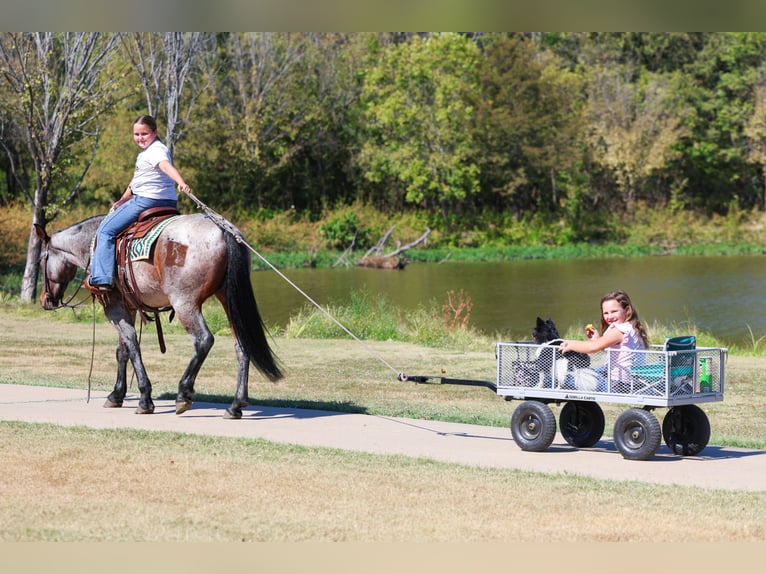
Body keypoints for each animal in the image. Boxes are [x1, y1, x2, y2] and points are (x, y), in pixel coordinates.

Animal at [35, 213, 283, 419]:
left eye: (40, 260)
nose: (44, 299)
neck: (92, 244)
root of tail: (221, 227)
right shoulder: (127, 306)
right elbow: (122, 351)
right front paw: (117, 394)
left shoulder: (114, 307)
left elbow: (132, 346)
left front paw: (144, 399)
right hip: (228, 300)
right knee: (242, 347)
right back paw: (235, 405)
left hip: (185, 303)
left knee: (203, 340)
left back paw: (184, 393)